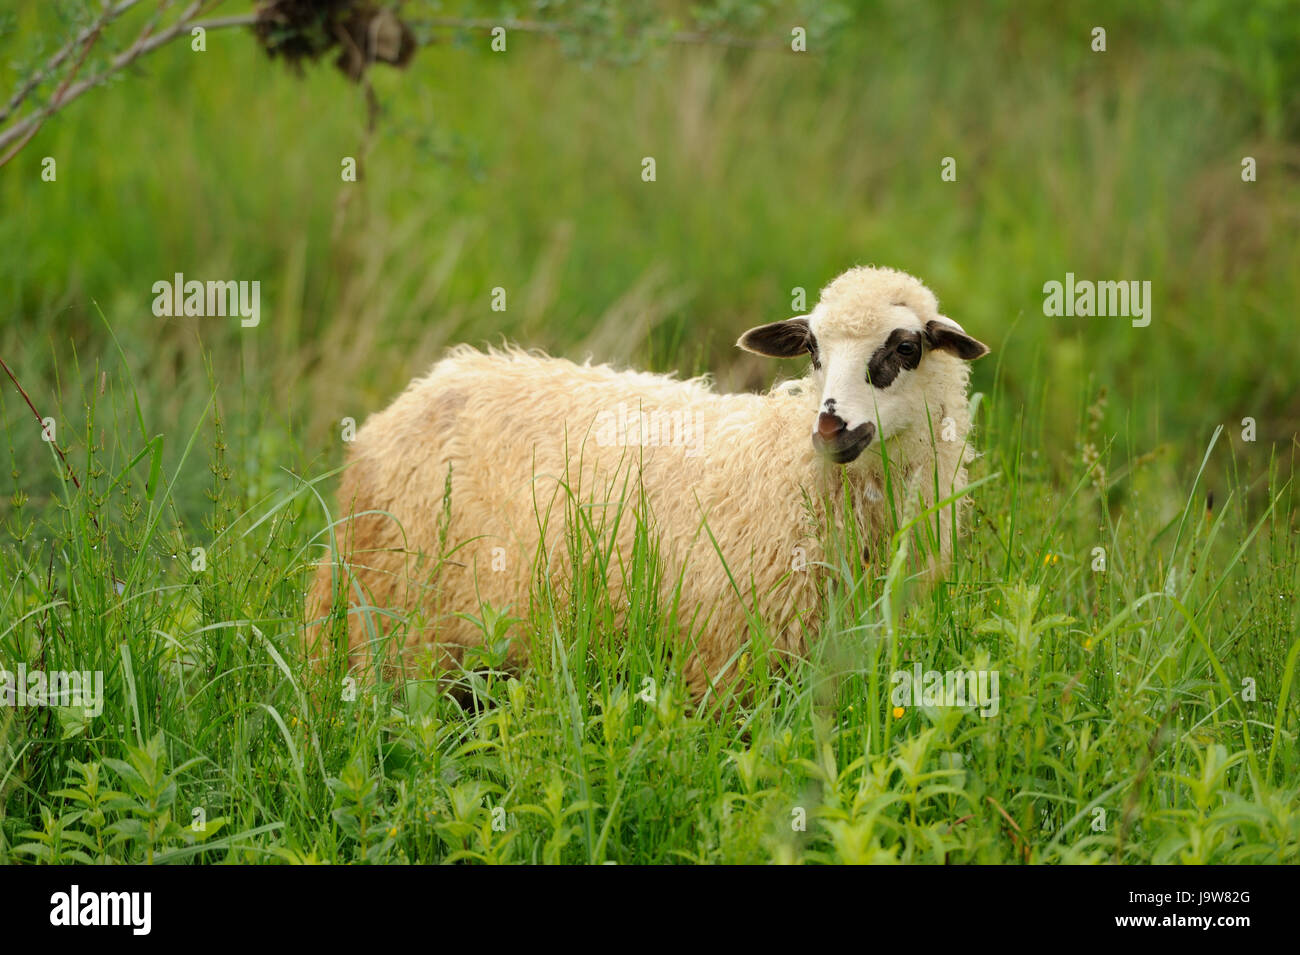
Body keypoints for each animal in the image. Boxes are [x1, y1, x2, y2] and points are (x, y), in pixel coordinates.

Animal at [305, 266, 990, 699]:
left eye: (905, 349)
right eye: (813, 351)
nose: (829, 426)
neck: (784, 467)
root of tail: (424, 389)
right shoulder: (722, 663)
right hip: (385, 622)